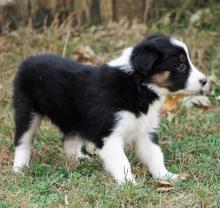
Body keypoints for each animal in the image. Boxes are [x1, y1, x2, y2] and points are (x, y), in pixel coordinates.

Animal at [12, 35, 207, 184]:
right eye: (181, 66)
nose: (205, 81)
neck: (138, 86)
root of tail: (27, 60)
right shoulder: (109, 134)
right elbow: (122, 161)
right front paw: (129, 184)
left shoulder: (145, 131)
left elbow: (155, 155)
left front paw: (167, 177)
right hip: (26, 110)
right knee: (23, 141)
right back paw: (19, 168)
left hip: (74, 115)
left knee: (69, 138)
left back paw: (77, 159)